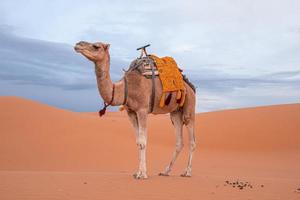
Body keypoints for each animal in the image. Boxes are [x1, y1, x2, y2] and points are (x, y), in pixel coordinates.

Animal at [74, 41, 197, 179]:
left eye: (96, 46)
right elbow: (138, 142)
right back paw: (165, 171)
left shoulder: (142, 109)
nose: (78, 44)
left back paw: (187, 172)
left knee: (192, 140)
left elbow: (143, 142)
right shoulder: (131, 112)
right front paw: (137, 172)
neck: (126, 88)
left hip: (189, 105)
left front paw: (142, 174)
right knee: (179, 141)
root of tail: (191, 87)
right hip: (175, 112)